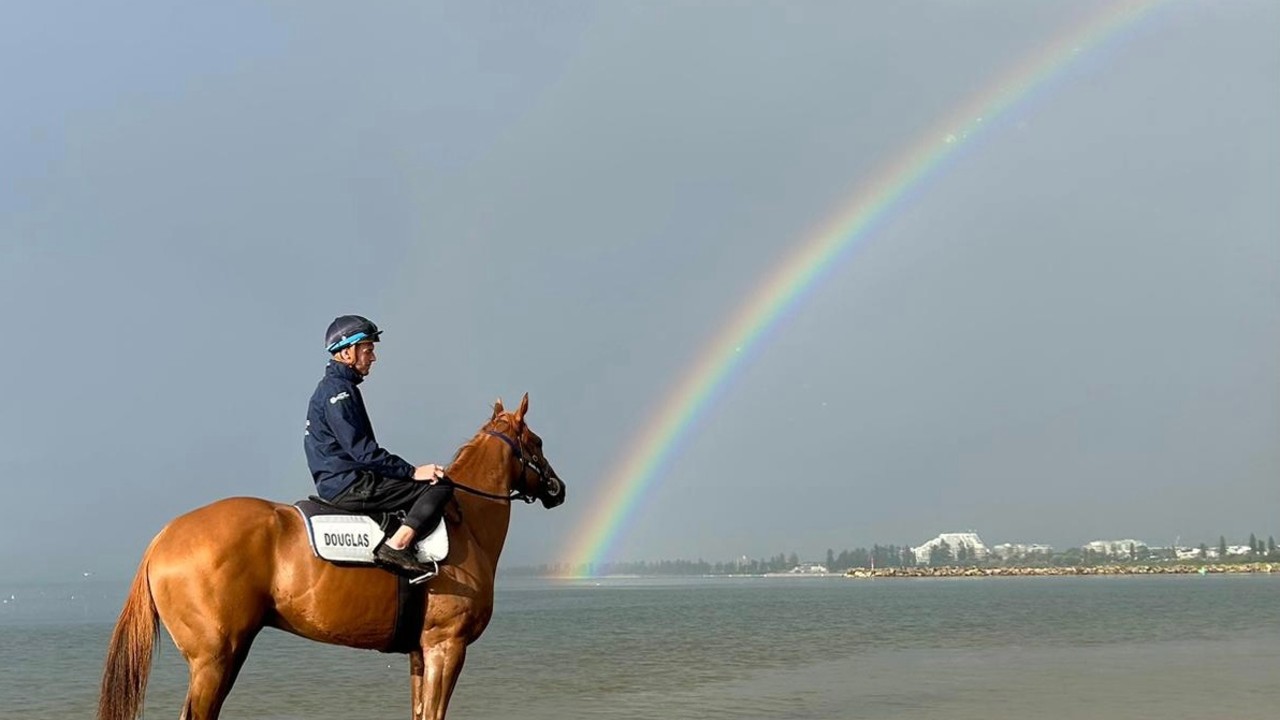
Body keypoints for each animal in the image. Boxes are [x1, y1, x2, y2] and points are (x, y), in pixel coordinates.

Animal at [94, 392, 565, 717]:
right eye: (538, 442)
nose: (559, 489)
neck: (464, 522)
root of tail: (166, 535)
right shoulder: (446, 646)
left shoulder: (421, 651)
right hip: (213, 660)